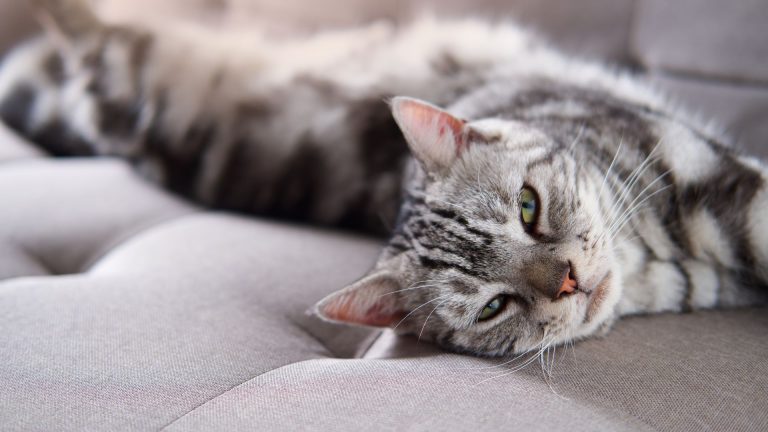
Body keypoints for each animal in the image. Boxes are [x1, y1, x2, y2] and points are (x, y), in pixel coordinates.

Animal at [0, 0, 764, 358]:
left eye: (527, 207)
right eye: (494, 307)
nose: (571, 282)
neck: (655, 261)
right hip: (123, 76)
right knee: (83, 40)